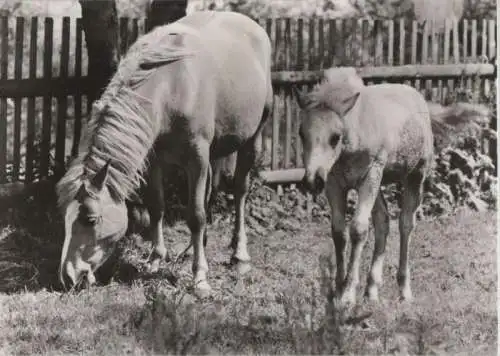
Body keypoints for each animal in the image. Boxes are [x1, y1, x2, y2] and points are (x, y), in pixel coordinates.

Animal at [56, 11, 272, 298]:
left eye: (90, 219)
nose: (68, 277)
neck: (170, 86)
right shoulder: (155, 160)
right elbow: (156, 206)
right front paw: (156, 259)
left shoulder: (196, 158)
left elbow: (195, 215)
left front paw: (200, 278)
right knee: (211, 190)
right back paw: (195, 248)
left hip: (253, 137)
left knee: (239, 191)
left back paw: (239, 255)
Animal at [292, 67, 484, 306]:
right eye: (302, 134)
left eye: (335, 137)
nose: (312, 180)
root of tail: (421, 102)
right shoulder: (334, 184)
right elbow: (339, 232)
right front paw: (338, 290)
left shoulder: (369, 176)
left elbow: (358, 229)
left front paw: (347, 294)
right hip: (379, 183)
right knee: (383, 221)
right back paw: (371, 290)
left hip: (414, 176)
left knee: (406, 224)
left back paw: (404, 289)